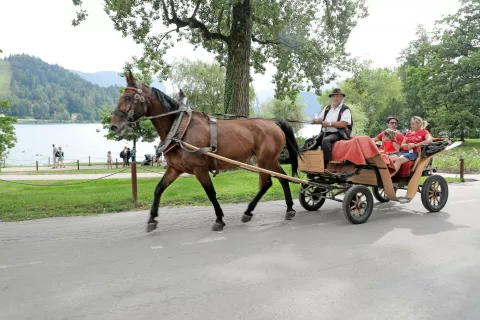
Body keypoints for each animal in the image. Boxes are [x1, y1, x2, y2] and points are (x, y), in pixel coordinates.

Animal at [110, 72, 302, 232]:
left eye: (128, 97)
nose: (114, 126)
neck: (180, 129)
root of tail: (274, 122)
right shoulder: (175, 168)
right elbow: (158, 189)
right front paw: (152, 219)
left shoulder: (200, 168)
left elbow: (210, 193)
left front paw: (219, 219)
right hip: (270, 160)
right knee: (283, 178)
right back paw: (289, 208)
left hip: (264, 160)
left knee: (266, 183)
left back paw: (249, 211)